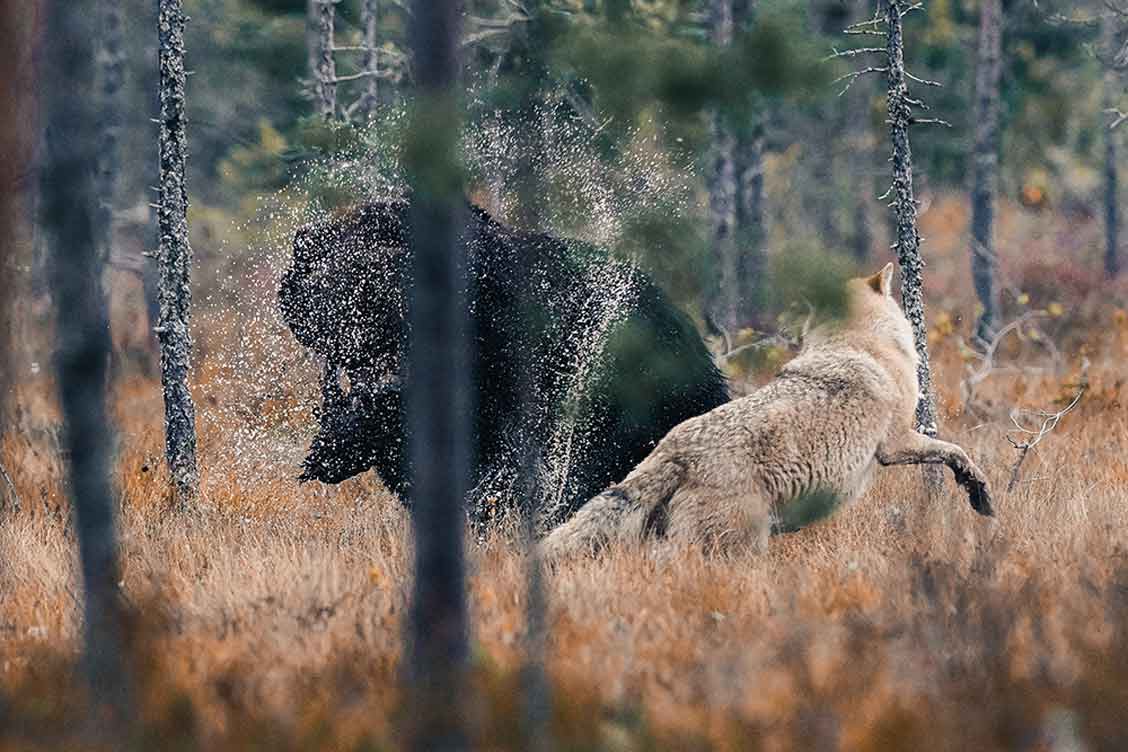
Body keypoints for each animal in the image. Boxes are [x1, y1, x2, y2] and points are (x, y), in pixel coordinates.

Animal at [541, 263, 994, 559]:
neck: (858, 341)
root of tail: (675, 448)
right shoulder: (897, 442)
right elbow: (956, 451)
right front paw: (979, 493)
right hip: (736, 547)